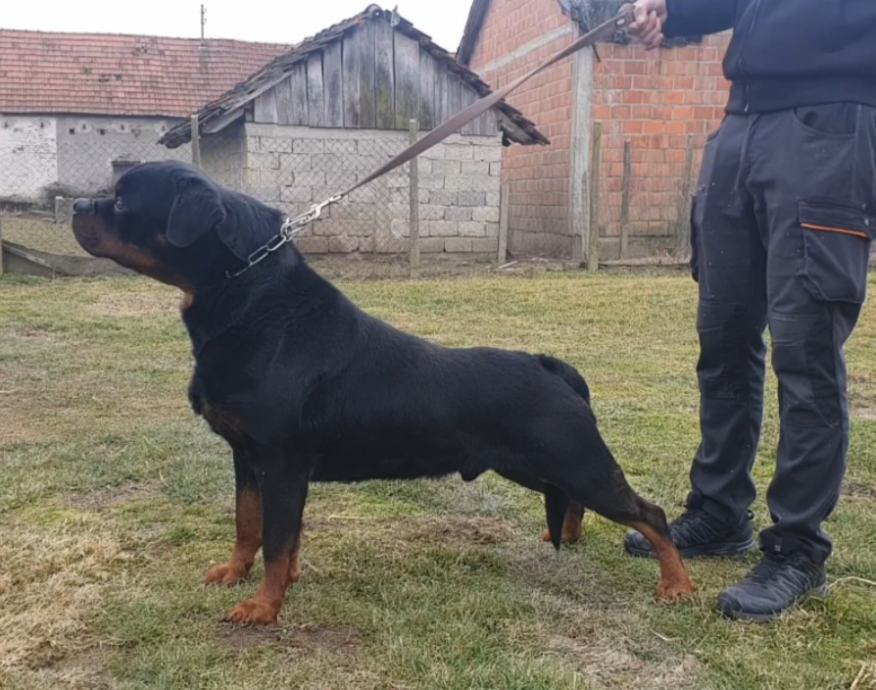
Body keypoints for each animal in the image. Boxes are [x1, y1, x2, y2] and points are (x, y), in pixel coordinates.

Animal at [72, 161, 693, 625]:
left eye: (123, 202)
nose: (77, 206)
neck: (252, 301)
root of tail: (551, 366)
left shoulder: (281, 461)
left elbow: (275, 538)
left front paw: (263, 607)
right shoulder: (247, 458)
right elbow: (251, 525)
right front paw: (236, 575)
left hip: (575, 459)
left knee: (649, 514)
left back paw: (677, 586)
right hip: (536, 464)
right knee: (577, 502)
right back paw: (561, 536)